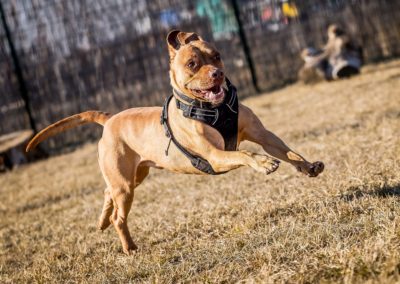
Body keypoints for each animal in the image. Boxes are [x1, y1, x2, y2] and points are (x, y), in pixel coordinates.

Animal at [26, 30, 324, 254]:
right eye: (192, 64)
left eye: (217, 56)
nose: (216, 73)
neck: (214, 109)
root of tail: (109, 119)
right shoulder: (216, 156)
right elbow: (244, 154)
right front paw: (263, 163)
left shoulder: (263, 135)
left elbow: (288, 151)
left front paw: (308, 166)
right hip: (126, 185)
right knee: (119, 217)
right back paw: (129, 247)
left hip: (134, 176)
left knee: (107, 192)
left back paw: (101, 221)